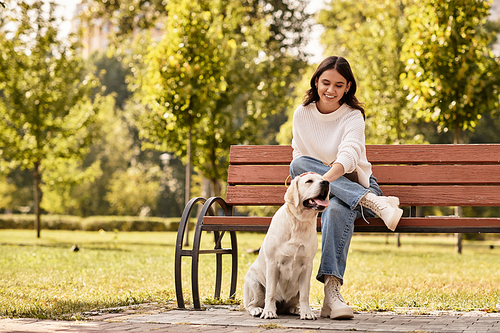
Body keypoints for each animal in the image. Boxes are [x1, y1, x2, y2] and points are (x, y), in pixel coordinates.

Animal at [243, 171, 330, 320]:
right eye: (309, 181)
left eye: (323, 179)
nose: (326, 183)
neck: (299, 223)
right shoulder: (273, 264)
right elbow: (270, 293)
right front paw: (269, 311)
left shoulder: (307, 266)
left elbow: (305, 295)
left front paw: (306, 312)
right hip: (254, 284)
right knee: (250, 304)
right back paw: (258, 310)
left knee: (293, 303)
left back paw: (296, 309)